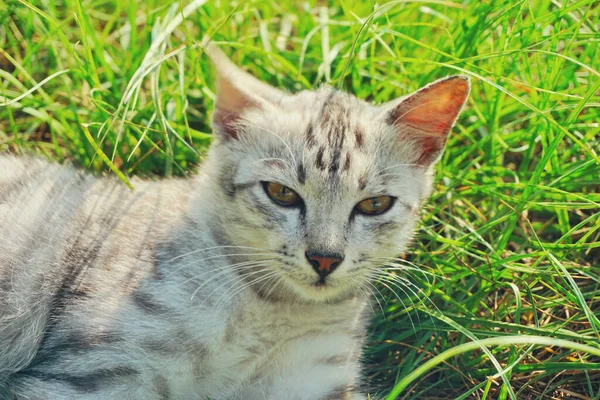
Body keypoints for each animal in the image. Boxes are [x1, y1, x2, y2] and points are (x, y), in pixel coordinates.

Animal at [0, 44, 468, 400]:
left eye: (374, 204)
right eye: (281, 194)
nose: (324, 259)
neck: (274, 309)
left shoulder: (312, 380)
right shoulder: (96, 371)